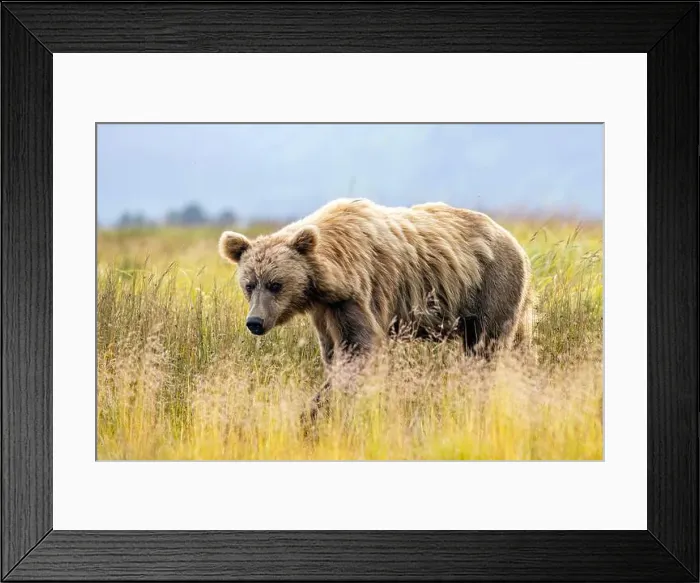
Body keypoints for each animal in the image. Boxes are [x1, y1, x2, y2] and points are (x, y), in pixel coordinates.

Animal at [218, 198, 534, 422]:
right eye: (249, 284)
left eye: (276, 284)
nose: (255, 321)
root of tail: (515, 242)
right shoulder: (325, 310)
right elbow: (333, 352)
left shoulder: (360, 294)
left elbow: (358, 349)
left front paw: (316, 411)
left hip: (491, 285)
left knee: (485, 347)